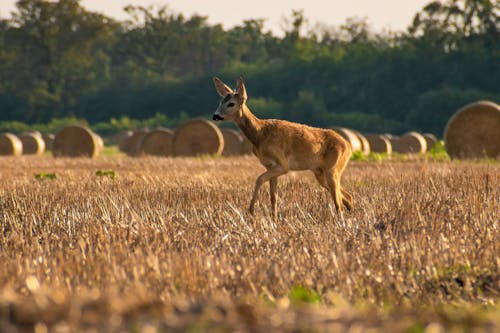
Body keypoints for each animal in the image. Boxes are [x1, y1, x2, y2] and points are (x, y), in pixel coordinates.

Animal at [213, 76, 354, 219]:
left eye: (231, 103)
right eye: (220, 102)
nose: (215, 115)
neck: (260, 135)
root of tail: (348, 146)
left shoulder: (283, 164)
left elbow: (259, 179)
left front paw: (251, 211)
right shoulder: (270, 165)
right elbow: (273, 196)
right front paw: (274, 218)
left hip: (333, 168)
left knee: (339, 202)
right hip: (320, 172)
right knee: (347, 196)